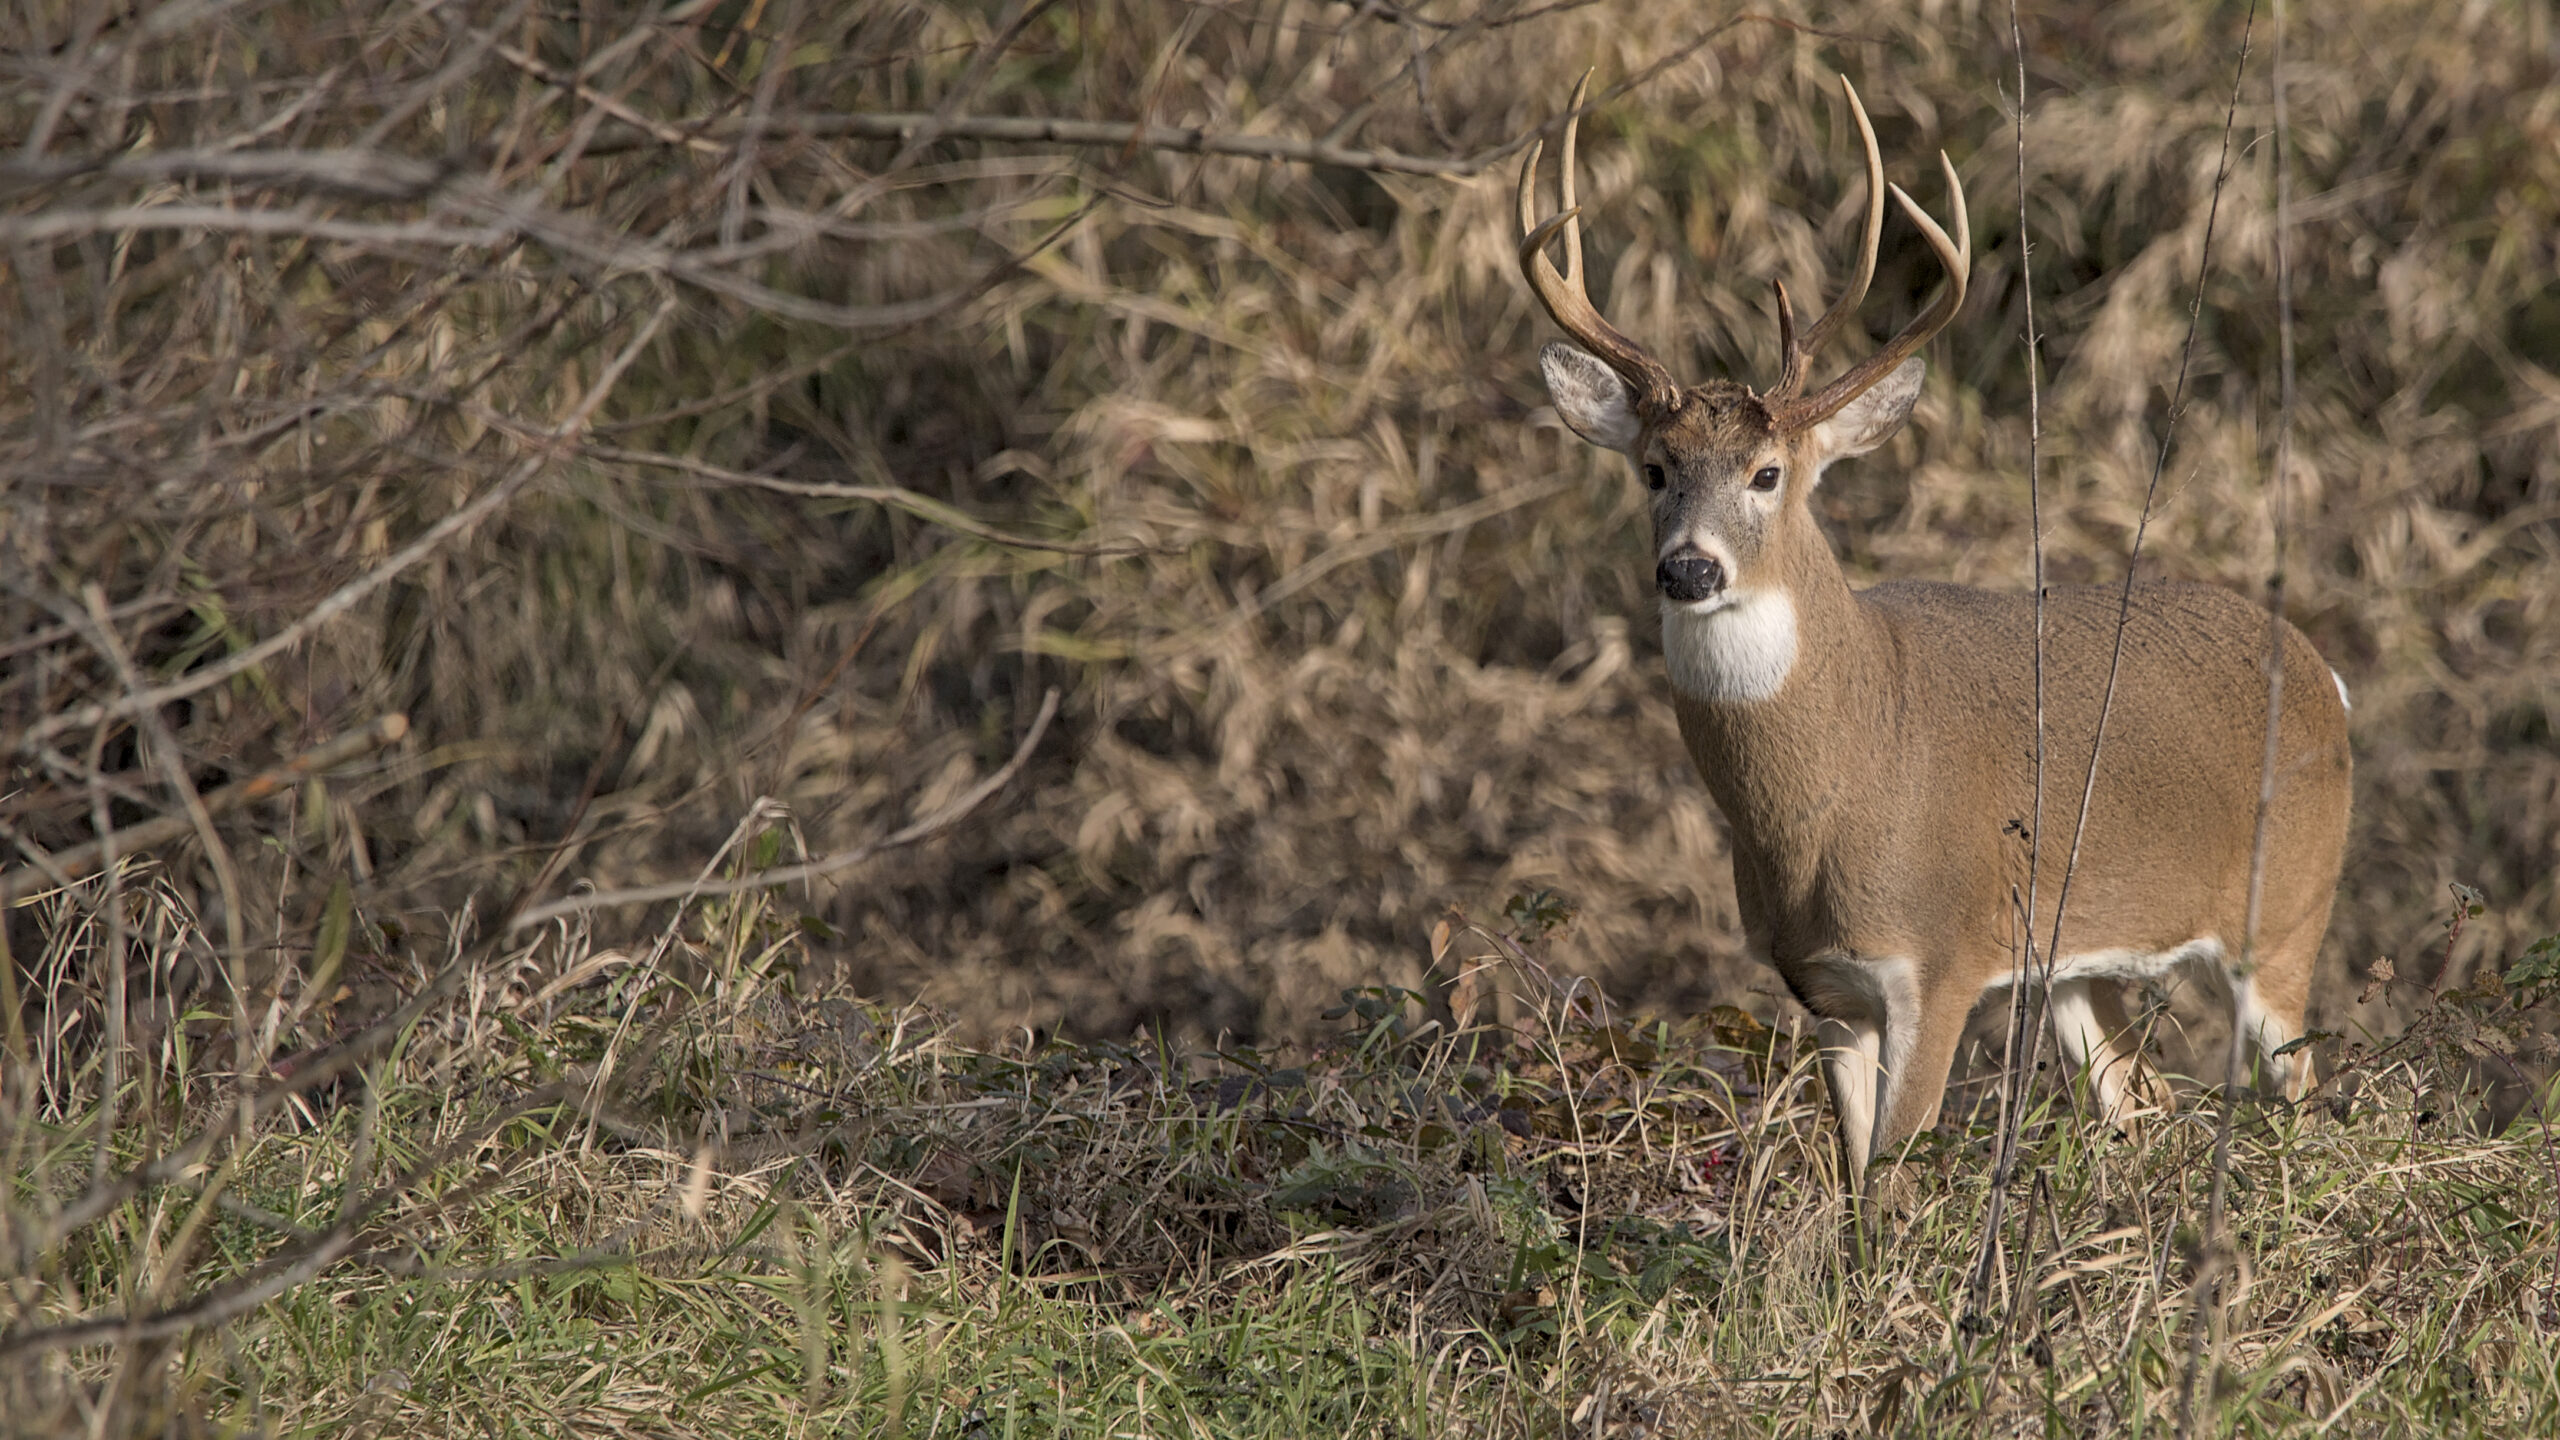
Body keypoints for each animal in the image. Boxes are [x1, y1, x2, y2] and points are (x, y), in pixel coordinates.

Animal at [1515, 77, 2354, 1189]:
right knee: (2139, 1105)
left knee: (2304, 1100)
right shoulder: (1824, 987)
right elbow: (1858, 1183)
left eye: (1767, 474)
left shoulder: (1944, 955)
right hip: (2079, 962)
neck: (1840, 781)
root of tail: (2324, 676)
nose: (1688, 568)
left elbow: (1896, 1170)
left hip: (2287, 913)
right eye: (1652, 468)